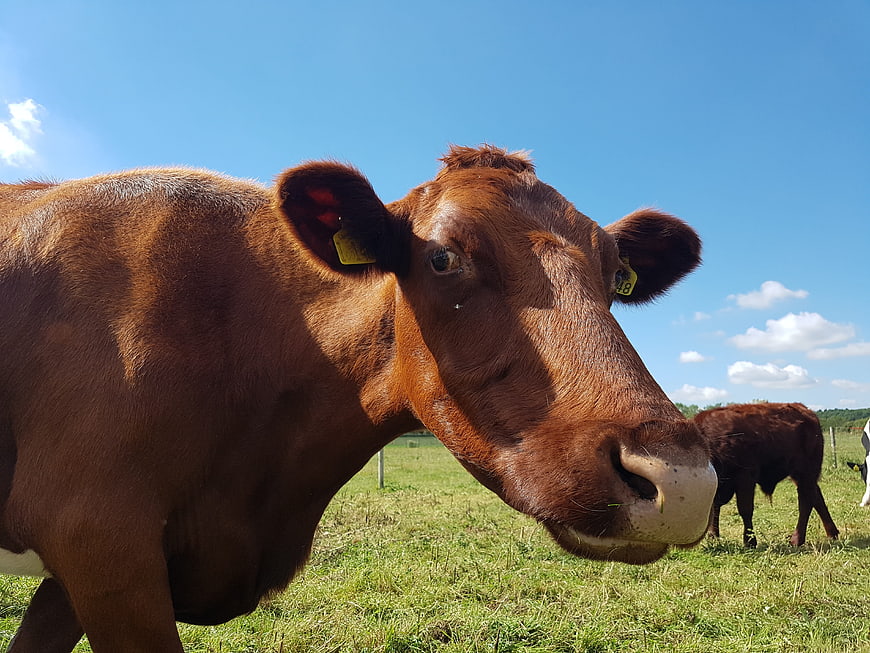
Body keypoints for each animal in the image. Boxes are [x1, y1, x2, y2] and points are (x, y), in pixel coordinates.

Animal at [695, 402, 839, 548]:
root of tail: (806, 411)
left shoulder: (746, 477)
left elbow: (745, 509)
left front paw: (750, 541)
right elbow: (715, 509)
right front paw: (713, 537)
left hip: (805, 472)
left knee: (805, 501)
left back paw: (797, 540)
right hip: (801, 476)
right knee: (816, 497)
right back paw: (832, 534)